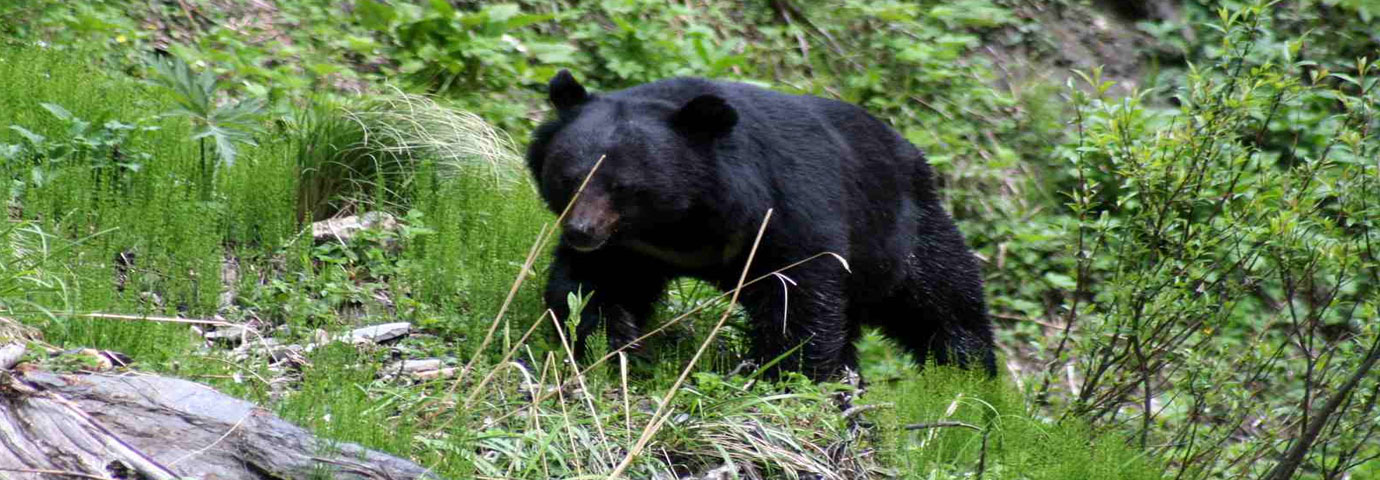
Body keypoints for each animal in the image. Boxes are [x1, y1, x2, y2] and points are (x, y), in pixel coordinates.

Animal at [524, 70, 993, 377]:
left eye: (623, 186)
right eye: (568, 177)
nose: (581, 232)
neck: (683, 221)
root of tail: (914, 152)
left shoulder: (784, 214)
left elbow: (798, 300)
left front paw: (782, 371)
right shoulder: (629, 249)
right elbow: (593, 289)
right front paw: (615, 347)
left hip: (899, 232)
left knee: (943, 300)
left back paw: (967, 379)